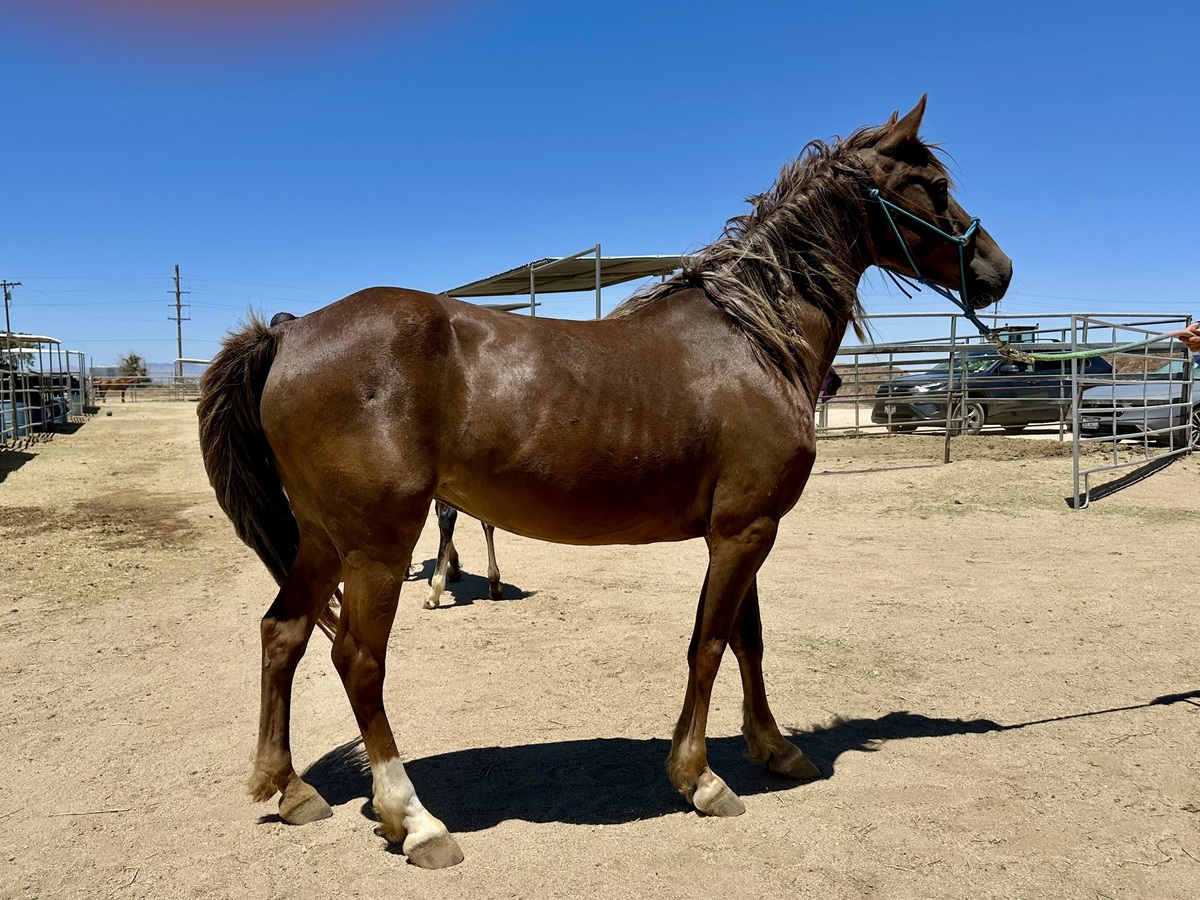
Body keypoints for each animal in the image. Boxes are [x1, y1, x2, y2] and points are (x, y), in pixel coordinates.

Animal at [197, 97, 1011, 869]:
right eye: (935, 188)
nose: (998, 271)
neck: (752, 340)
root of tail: (289, 331)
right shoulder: (742, 531)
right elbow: (710, 644)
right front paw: (699, 778)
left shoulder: (747, 529)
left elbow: (747, 641)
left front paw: (776, 749)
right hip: (377, 545)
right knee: (357, 662)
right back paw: (416, 821)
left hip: (322, 539)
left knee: (283, 634)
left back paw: (290, 788)